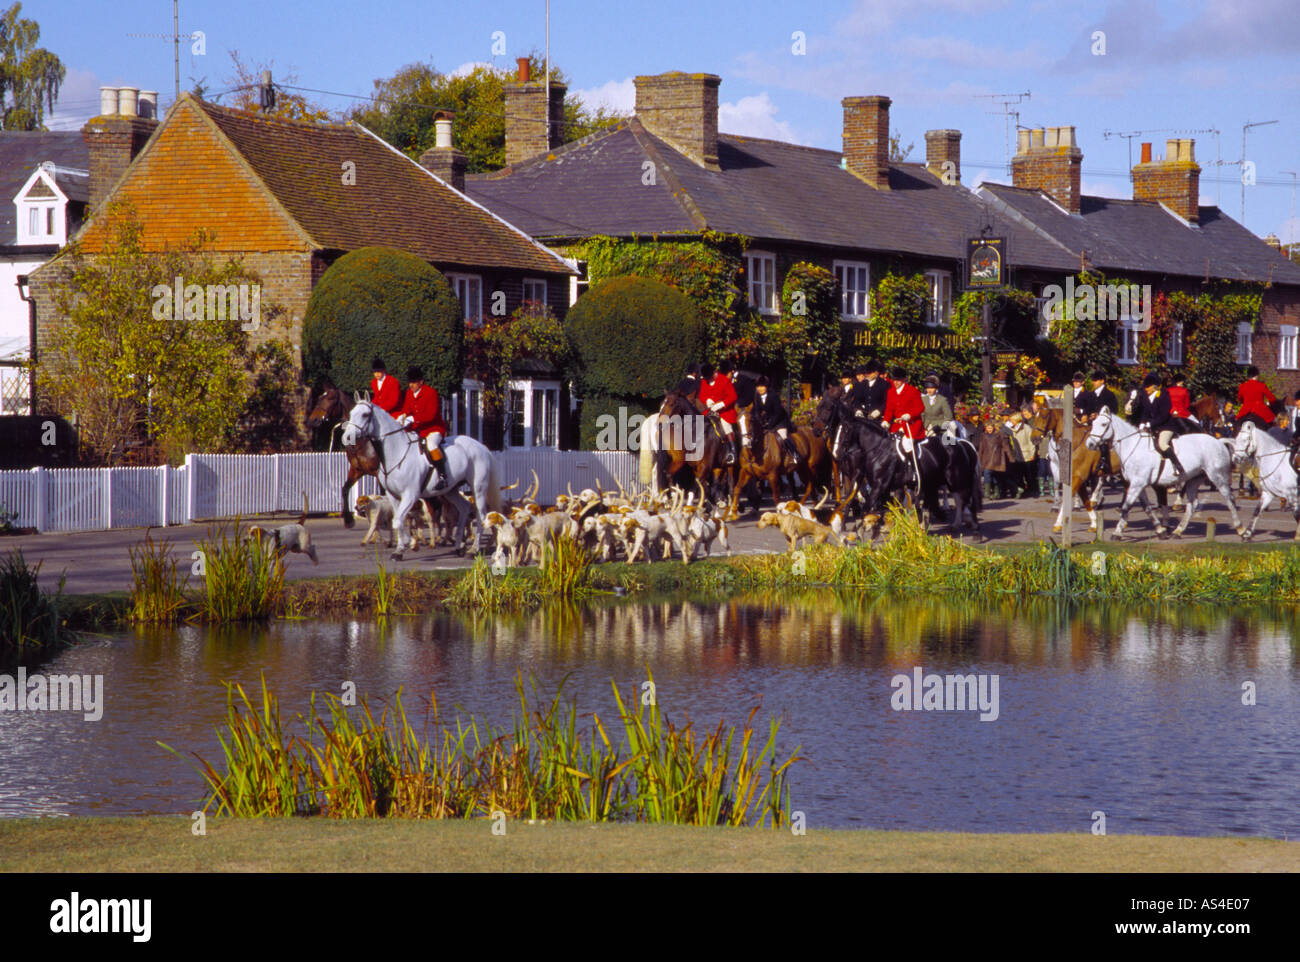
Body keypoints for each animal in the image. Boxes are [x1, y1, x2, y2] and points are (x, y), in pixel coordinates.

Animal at [305, 377, 382, 525]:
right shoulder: (357, 470)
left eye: (330, 398)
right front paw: (348, 519)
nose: (312, 421)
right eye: (319, 398)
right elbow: (345, 489)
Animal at [340, 403, 501, 559]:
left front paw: (410, 543)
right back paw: (459, 546)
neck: (397, 451)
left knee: (480, 516)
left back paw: (473, 550)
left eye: (365, 414)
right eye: (351, 412)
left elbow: (398, 521)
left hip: (478, 489)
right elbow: (398, 520)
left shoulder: (410, 495)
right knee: (464, 508)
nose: (347, 437)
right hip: (450, 491)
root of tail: (481, 446)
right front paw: (400, 550)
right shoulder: (393, 496)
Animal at [1081, 408, 1242, 540]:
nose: (1089, 444)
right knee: (1192, 504)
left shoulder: (1137, 484)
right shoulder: (1138, 485)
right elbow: (1146, 508)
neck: (1133, 446)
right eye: (1093, 423)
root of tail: (1219, 442)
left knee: (1229, 499)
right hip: (1194, 479)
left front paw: (1116, 533)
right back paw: (1178, 531)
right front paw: (1161, 531)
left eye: (1103, 424)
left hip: (1217, 476)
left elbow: (1127, 506)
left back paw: (1242, 531)